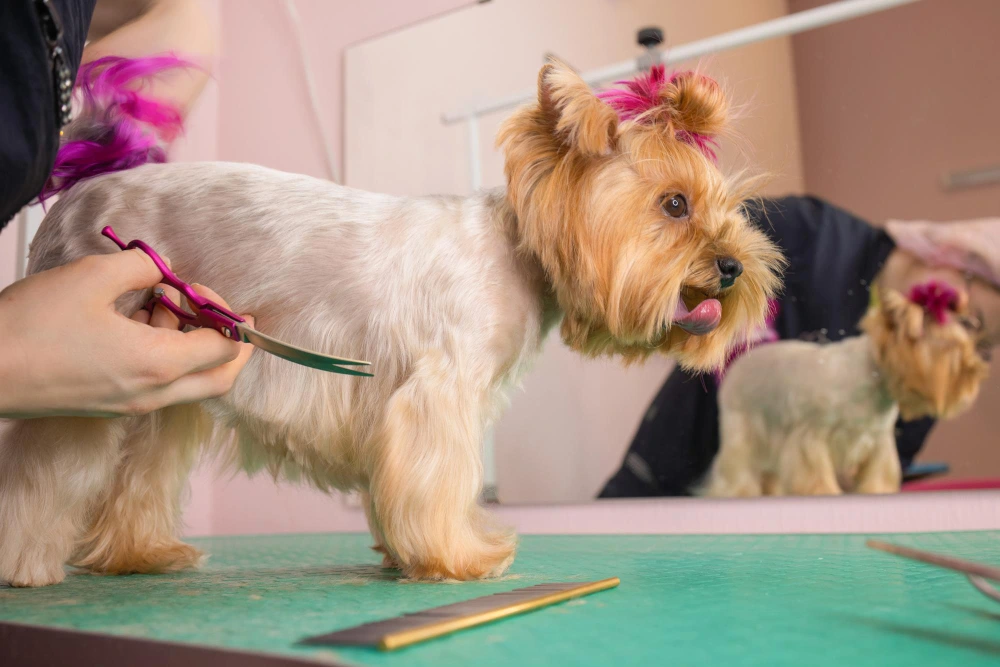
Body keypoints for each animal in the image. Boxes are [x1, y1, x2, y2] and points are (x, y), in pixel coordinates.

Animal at [0, 58, 780, 588]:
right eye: (675, 204)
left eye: (732, 209)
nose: (733, 267)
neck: (518, 248)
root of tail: (75, 195)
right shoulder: (438, 391)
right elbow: (439, 479)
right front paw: (462, 556)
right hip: (92, 363)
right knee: (45, 464)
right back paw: (26, 563)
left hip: (173, 364)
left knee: (143, 469)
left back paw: (141, 553)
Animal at [708, 280, 988, 498]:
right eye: (947, 347)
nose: (975, 368)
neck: (874, 376)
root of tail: (742, 359)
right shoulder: (811, 437)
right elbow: (816, 475)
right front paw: (823, 493)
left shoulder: (878, 441)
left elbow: (877, 475)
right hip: (741, 431)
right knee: (738, 472)